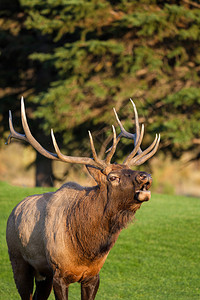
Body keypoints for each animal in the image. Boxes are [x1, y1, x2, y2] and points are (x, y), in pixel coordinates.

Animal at [5, 97, 160, 298]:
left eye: (131, 170)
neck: (87, 249)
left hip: (43, 274)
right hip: (18, 260)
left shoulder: (93, 275)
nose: (145, 176)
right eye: (113, 177)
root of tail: (13, 211)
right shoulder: (59, 274)